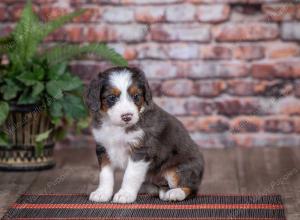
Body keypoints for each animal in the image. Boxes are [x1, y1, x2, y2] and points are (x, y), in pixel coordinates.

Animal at [85, 66, 205, 204]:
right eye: (112, 97)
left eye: (136, 96)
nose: (127, 116)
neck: (117, 127)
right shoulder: (103, 147)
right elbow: (105, 174)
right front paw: (102, 193)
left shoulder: (141, 150)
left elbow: (130, 174)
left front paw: (125, 194)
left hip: (178, 168)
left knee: (191, 188)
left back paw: (174, 193)